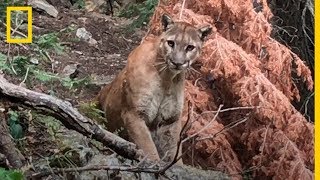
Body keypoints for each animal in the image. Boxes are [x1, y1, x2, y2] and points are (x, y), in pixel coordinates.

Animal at [97, 13, 212, 163]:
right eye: (171, 43)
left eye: (190, 47)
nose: (177, 63)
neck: (167, 79)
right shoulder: (134, 114)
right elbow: (149, 149)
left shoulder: (171, 120)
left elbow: (173, 150)